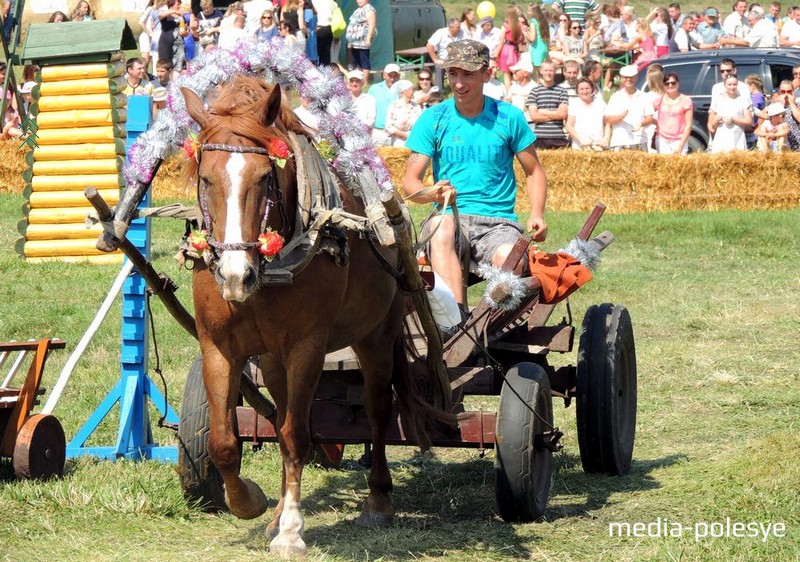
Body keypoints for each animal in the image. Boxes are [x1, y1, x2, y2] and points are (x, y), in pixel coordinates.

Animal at [183, 75, 424, 556]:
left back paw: (378, 499)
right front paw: (251, 503)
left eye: (264, 178)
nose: (235, 275)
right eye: (205, 178)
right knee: (278, 419)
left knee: (376, 411)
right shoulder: (218, 347)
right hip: (272, 358)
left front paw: (292, 530)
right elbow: (224, 442)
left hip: (376, 337)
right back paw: (277, 511)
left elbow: (298, 435)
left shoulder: (307, 347)